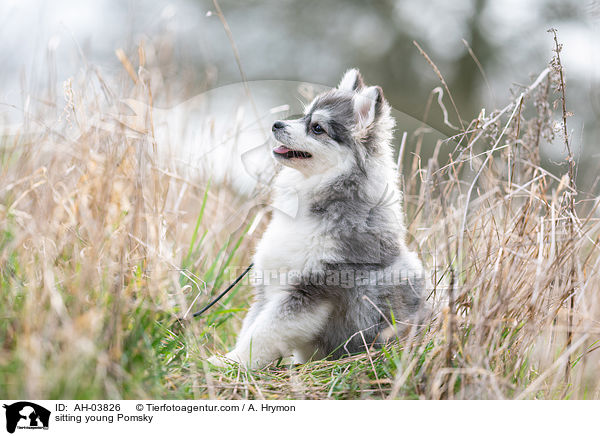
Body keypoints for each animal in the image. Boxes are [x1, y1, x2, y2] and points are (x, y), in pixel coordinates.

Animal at [211, 68, 426, 368]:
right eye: (304, 116)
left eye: (317, 128)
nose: (276, 124)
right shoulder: (267, 287)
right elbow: (251, 327)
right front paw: (232, 359)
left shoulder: (310, 290)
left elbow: (263, 334)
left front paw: (231, 363)